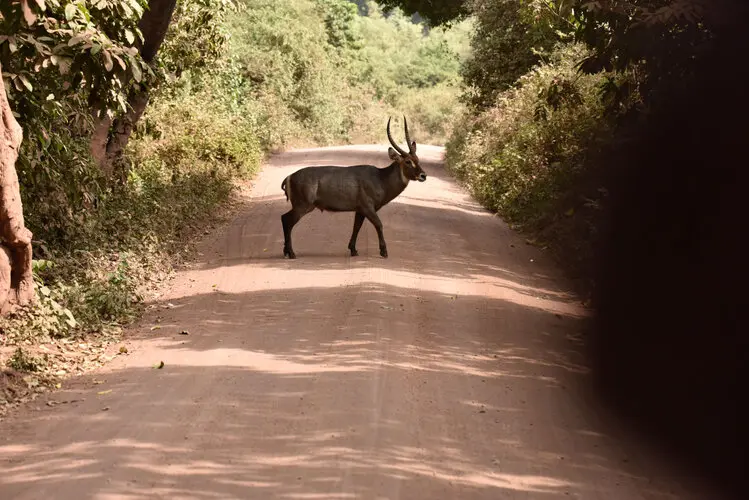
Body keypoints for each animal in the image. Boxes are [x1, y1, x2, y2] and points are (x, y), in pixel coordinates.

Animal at [280, 115, 424, 260]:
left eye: (417, 159)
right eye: (408, 161)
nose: (423, 175)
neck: (381, 179)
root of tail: (289, 177)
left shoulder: (359, 210)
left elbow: (357, 227)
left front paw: (353, 250)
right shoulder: (367, 207)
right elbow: (379, 224)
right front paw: (384, 252)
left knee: (285, 219)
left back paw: (287, 252)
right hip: (303, 205)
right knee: (286, 220)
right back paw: (291, 253)